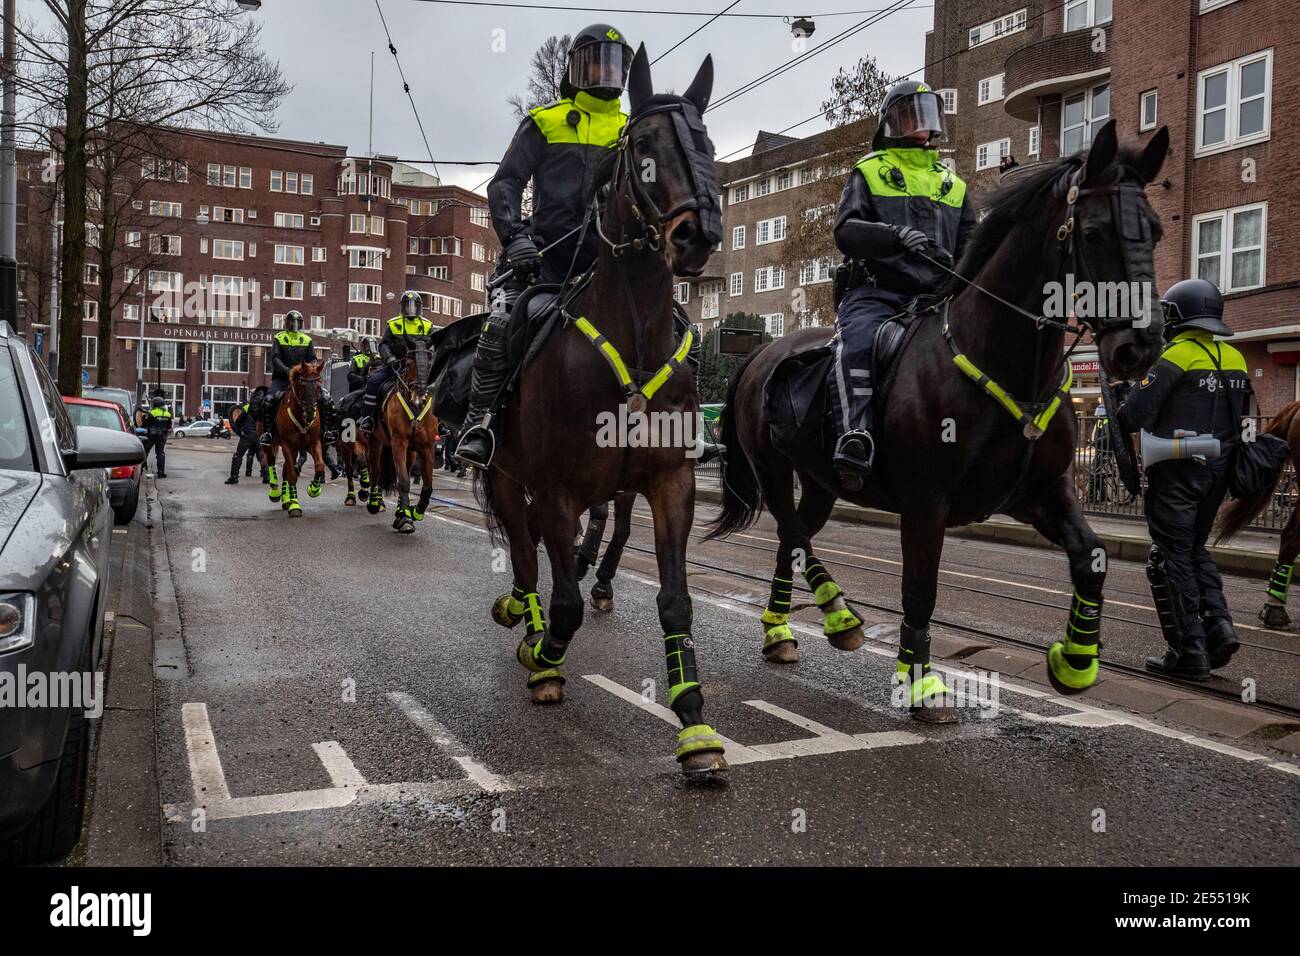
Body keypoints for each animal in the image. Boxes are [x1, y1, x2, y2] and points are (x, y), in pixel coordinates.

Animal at [262, 361, 325, 520]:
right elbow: (292, 474)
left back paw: (286, 500)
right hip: (270, 442)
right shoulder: (287, 445)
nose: (309, 414)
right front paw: (295, 506)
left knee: (284, 468)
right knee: (271, 460)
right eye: (302, 384)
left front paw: (313, 489)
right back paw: (276, 493)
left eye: (319, 385)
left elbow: (319, 466)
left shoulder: (313, 443)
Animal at [361, 343, 436, 535]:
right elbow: (402, 482)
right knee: (376, 471)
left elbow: (427, 486)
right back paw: (374, 504)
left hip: (411, 451)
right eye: (408, 363)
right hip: (375, 441)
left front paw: (415, 512)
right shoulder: (399, 443)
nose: (419, 399)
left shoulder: (427, 447)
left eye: (430, 363)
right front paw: (406, 520)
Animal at [478, 46, 728, 780]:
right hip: (505, 475)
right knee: (526, 557)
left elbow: (675, 599)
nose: (696, 233)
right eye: (643, 146)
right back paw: (524, 622)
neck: (636, 337)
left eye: (706, 143)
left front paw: (694, 725)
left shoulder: (670, 483)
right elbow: (562, 598)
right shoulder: (560, 487)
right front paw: (543, 659)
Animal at [712, 119, 1170, 717]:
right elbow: (920, 589)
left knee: (793, 540)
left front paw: (1075, 660)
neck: (1002, 360)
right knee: (792, 535)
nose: (1141, 346)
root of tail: (761, 354)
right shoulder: (926, 502)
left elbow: (1091, 557)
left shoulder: (1039, 494)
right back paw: (838, 615)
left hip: (819, 483)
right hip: (771, 470)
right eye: (1094, 233)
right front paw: (920, 681)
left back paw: (782, 631)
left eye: (1155, 231)